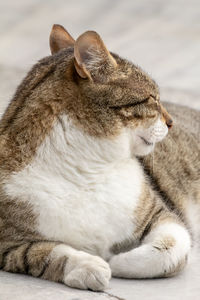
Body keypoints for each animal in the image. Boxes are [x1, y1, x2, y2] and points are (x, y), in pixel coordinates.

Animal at [0, 24, 199, 292]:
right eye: (152, 99)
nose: (171, 123)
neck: (89, 169)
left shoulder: (160, 214)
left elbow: (171, 246)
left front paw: (119, 262)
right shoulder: (8, 243)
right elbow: (45, 253)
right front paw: (88, 266)